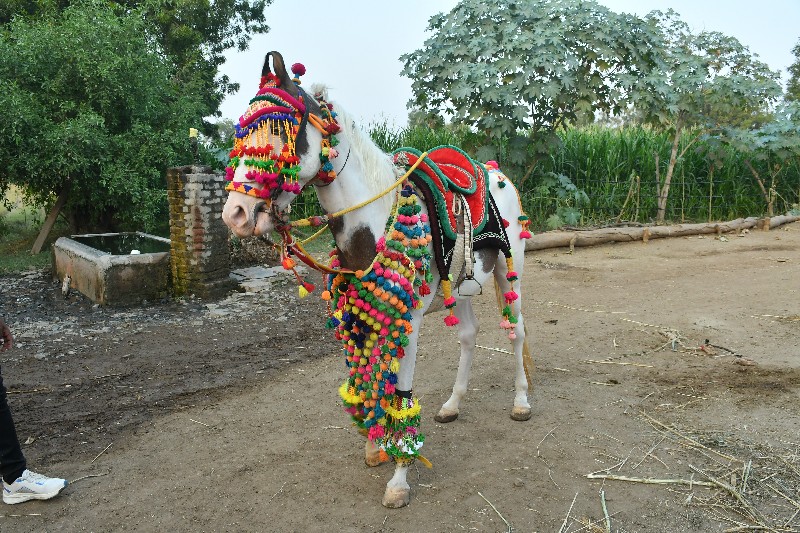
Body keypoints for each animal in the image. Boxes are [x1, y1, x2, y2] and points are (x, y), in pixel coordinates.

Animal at [222, 53, 536, 508]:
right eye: (244, 132)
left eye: (281, 132)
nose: (236, 213)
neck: (374, 219)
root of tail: (496, 174)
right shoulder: (360, 310)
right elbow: (367, 374)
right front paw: (375, 446)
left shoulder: (411, 320)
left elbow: (401, 390)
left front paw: (399, 477)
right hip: (461, 284)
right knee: (469, 335)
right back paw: (453, 404)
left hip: (508, 273)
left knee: (517, 331)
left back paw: (521, 401)